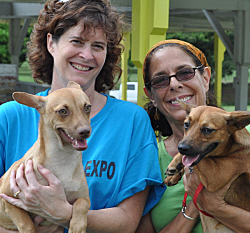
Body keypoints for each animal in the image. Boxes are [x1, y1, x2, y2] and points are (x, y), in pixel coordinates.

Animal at [0, 81, 91, 232]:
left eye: (88, 107)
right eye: (62, 111)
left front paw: (77, 227)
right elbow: (27, 225)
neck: (63, 160)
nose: (85, 131)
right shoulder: (7, 200)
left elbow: (81, 205)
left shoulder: (85, 199)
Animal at [165, 103, 250, 233]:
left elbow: (202, 159)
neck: (233, 148)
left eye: (207, 130)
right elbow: (188, 159)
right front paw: (174, 169)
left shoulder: (215, 175)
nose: (182, 148)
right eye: (186, 124)